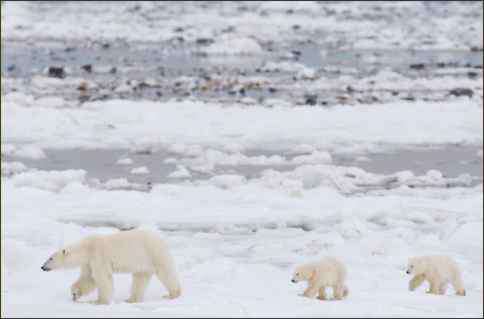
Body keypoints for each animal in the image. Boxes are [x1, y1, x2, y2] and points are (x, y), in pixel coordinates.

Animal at [40, 230, 182, 304]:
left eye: (50, 258)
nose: (42, 267)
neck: (86, 248)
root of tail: (162, 240)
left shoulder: (98, 256)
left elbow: (102, 277)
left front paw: (99, 301)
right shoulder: (89, 262)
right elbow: (88, 278)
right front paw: (75, 293)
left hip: (153, 253)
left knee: (166, 272)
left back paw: (172, 294)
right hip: (143, 263)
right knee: (140, 279)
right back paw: (131, 299)